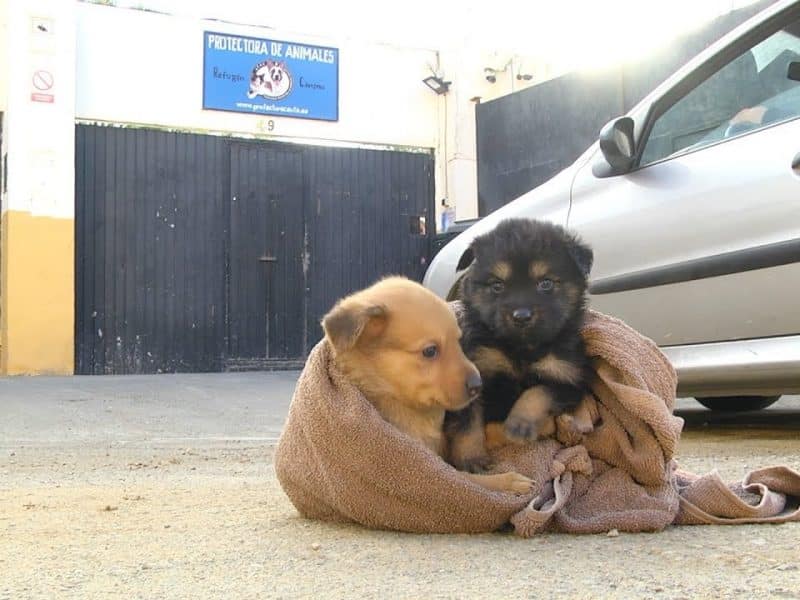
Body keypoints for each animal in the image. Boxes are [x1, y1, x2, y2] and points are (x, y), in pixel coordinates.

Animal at [322, 276, 536, 492]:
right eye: (430, 351)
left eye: (458, 341)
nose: (478, 385)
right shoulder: (430, 466)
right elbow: (471, 480)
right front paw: (509, 481)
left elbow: (490, 434)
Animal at [446, 218, 592, 472]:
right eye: (497, 286)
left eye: (545, 283)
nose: (521, 316)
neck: (522, 347)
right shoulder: (476, 374)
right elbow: (468, 422)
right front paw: (470, 458)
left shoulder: (567, 381)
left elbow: (538, 391)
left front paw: (519, 424)